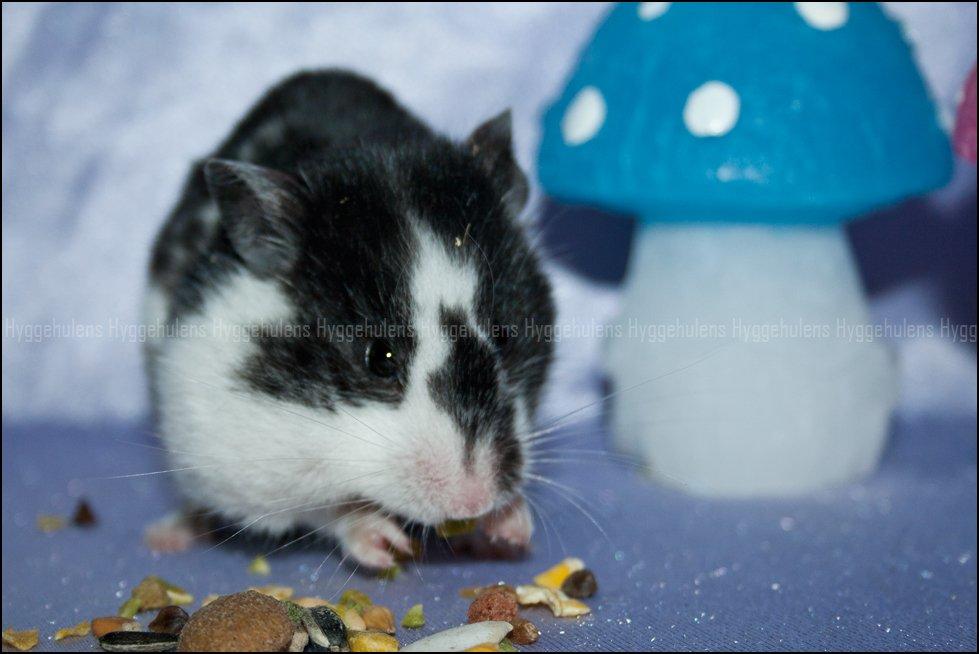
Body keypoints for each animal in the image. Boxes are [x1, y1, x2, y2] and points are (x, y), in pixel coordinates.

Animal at [143, 70, 554, 568]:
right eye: (379, 357)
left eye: (505, 336)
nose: (471, 502)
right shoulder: (235, 453)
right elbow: (325, 507)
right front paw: (385, 544)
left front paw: (511, 526)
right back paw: (167, 536)